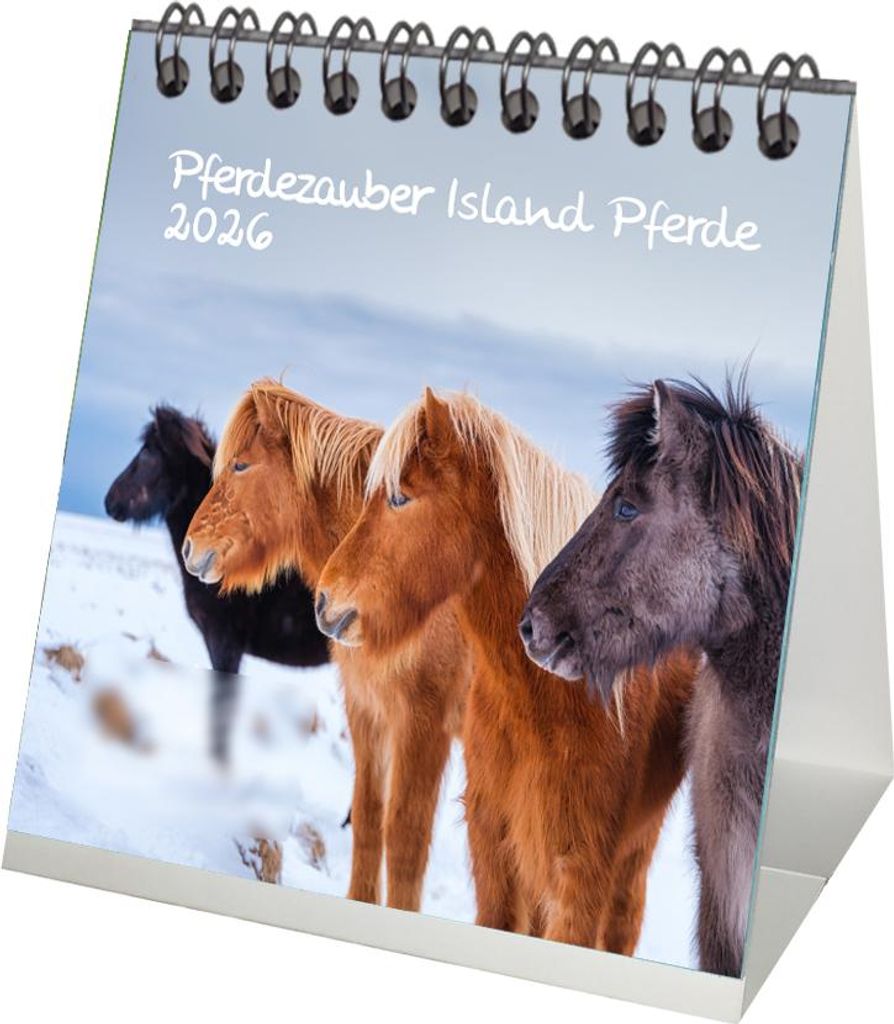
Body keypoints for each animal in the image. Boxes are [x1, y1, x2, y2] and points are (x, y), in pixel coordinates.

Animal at [181, 381, 471, 911]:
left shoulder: (424, 725)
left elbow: (406, 840)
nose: (191, 549)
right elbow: (369, 820)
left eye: (241, 465)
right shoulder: (367, 710)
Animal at [317, 388, 698, 950]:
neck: (546, 701)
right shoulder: (496, 847)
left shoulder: (580, 873)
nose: (325, 603)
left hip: (631, 857)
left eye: (400, 498)